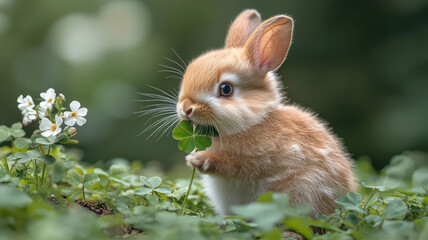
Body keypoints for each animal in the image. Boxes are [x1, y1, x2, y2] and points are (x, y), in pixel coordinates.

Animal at [174, 8, 358, 216]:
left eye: (226, 89)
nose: (185, 108)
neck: (254, 122)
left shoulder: (259, 160)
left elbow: (232, 165)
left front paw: (197, 159)